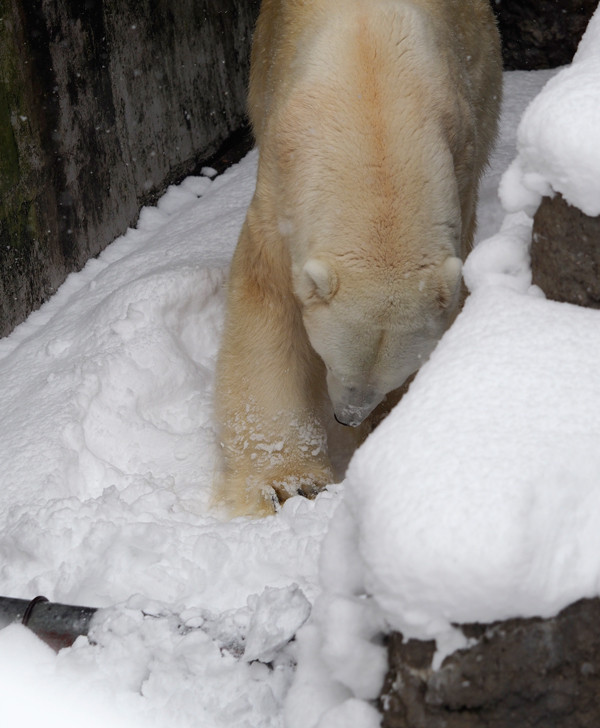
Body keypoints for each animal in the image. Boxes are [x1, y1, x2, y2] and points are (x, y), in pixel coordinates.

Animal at [213, 0, 504, 516]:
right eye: (332, 361)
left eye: (390, 378)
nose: (347, 417)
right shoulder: (281, 189)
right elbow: (267, 305)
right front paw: (288, 483)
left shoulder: (463, 154)